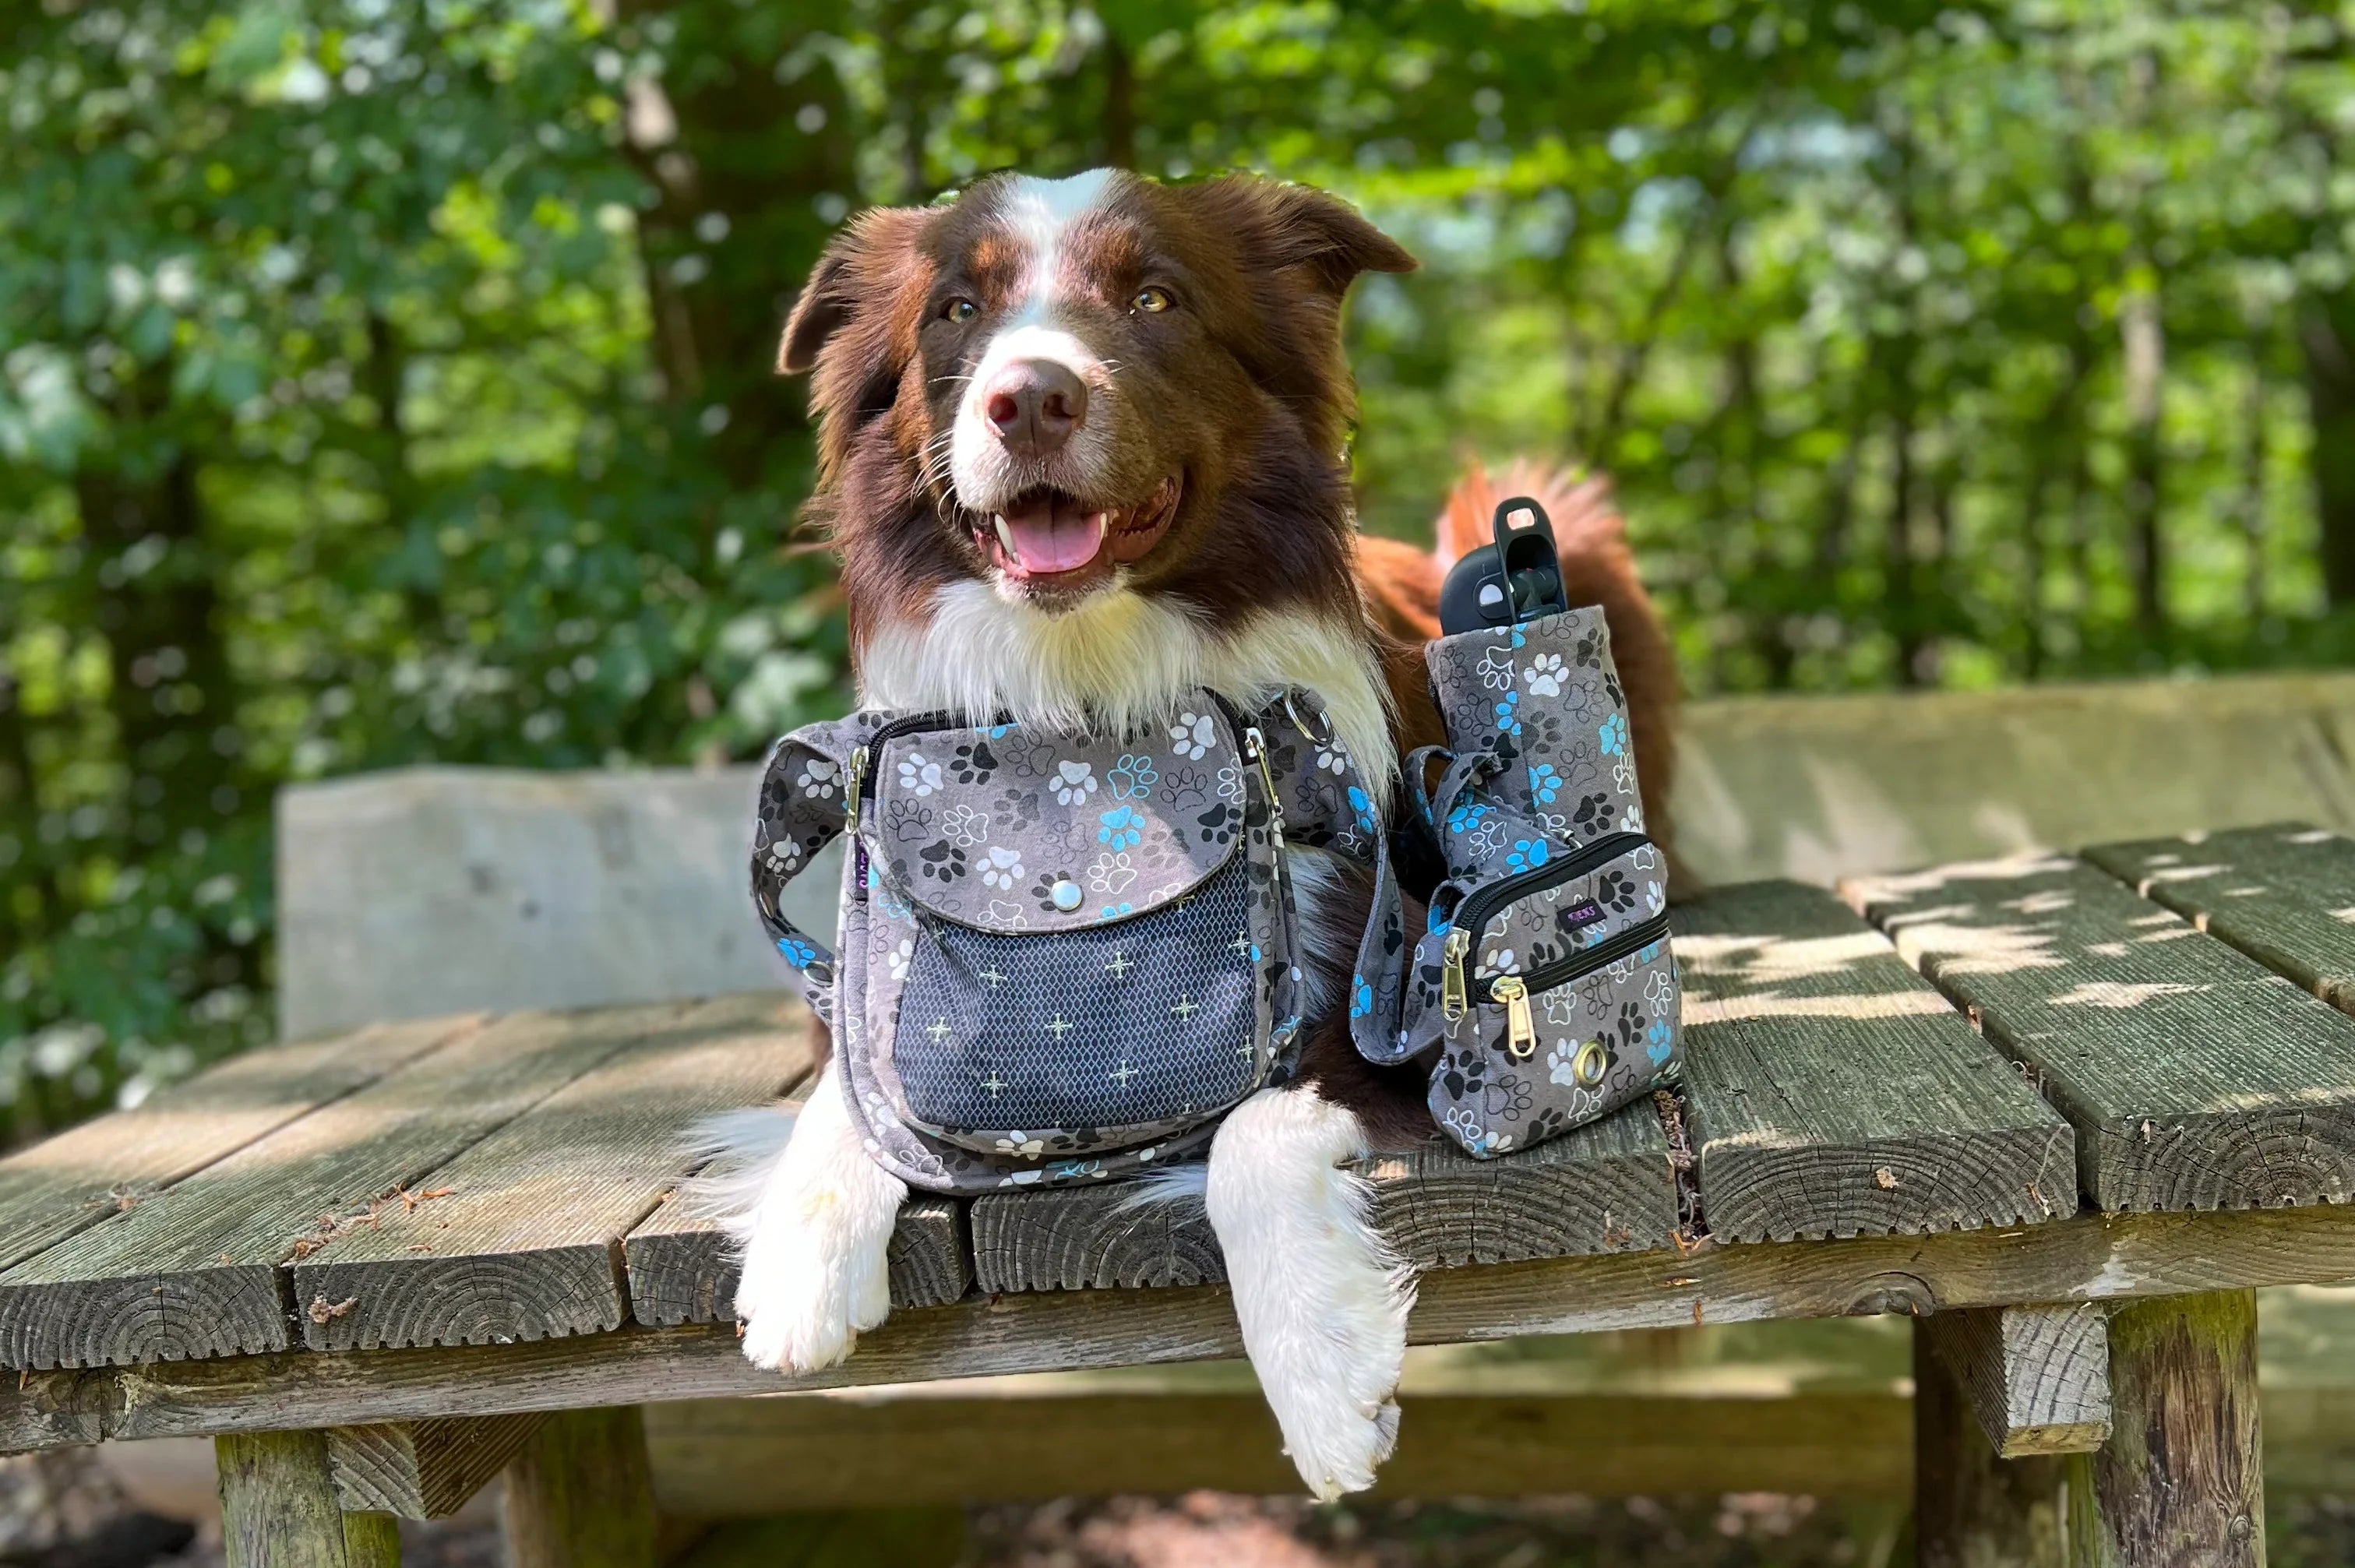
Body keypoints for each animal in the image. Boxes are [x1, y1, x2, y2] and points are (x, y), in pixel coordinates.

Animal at [715, 164, 1676, 1497]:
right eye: (957, 310)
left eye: (1155, 298)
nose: (1029, 398)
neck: (1086, 687)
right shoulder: (868, 969)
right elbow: (842, 1087)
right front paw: (800, 1258)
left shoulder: (1371, 969)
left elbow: (1256, 1130)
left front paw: (1320, 1373)